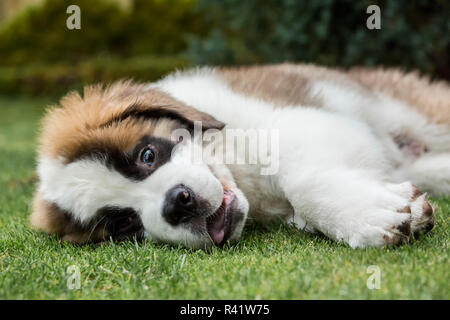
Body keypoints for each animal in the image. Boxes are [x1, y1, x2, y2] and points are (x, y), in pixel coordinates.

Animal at [29, 62, 448, 248]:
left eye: (147, 156)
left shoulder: (294, 121)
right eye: (123, 223)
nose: (177, 204)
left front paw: (371, 215)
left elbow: (302, 181)